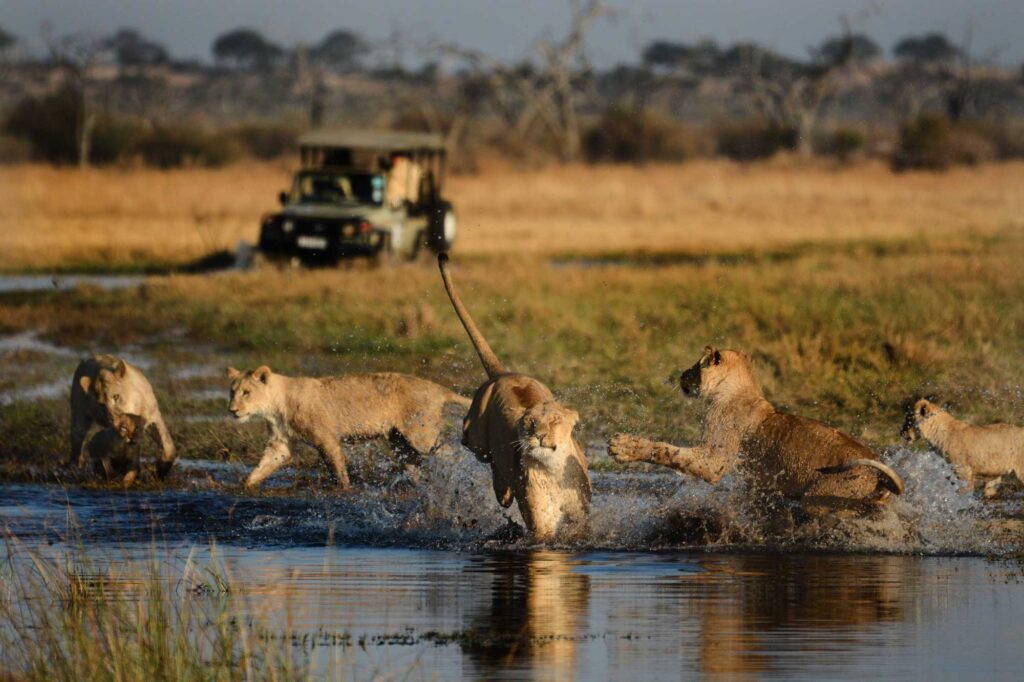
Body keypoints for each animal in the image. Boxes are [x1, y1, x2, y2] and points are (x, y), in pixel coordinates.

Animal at [70, 352, 176, 481]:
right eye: (101, 404)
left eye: (116, 397)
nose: (111, 418)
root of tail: (88, 358)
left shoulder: (153, 417)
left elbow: (169, 446)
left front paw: (160, 472)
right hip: (79, 417)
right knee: (76, 446)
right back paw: (75, 470)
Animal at [226, 366, 468, 489]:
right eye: (232, 391)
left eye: (246, 392)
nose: (232, 410)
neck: (276, 405)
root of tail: (437, 388)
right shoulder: (280, 444)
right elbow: (264, 466)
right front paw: (245, 486)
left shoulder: (326, 437)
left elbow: (336, 469)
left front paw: (344, 489)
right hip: (399, 439)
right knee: (413, 462)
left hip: (420, 433)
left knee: (448, 451)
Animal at [434, 251, 593, 540]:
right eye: (529, 423)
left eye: (554, 421)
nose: (539, 436)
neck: (553, 469)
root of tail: (503, 374)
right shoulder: (540, 523)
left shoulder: (580, 515)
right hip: (476, 438)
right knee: (485, 456)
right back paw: (503, 491)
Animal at [606, 346, 905, 516]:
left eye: (695, 366)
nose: (681, 376)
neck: (739, 389)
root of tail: (879, 473)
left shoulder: (714, 460)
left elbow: (668, 451)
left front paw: (623, 446)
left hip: (824, 499)